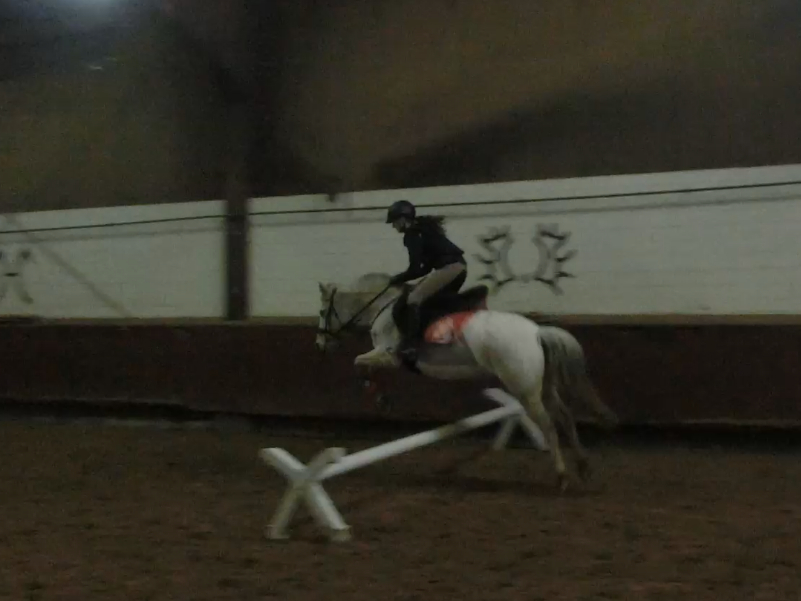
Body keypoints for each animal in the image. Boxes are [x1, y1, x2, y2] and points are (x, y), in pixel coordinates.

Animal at [315, 272, 618, 490]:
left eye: (321, 312)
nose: (320, 344)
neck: (380, 307)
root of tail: (536, 332)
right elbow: (362, 364)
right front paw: (380, 397)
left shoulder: (388, 355)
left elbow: (359, 363)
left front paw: (378, 396)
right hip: (543, 387)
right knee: (565, 417)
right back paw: (583, 467)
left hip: (525, 390)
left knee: (549, 425)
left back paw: (562, 476)